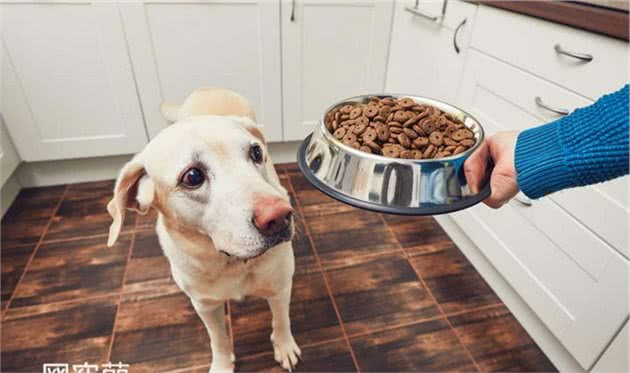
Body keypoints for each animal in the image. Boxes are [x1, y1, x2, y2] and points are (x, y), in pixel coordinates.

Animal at [107, 86, 302, 370]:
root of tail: (209, 88)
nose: (279, 217)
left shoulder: (279, 287)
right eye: (192, 177)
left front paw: (285, 346)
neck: (230, 262)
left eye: (256, 153)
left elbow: (282, 320)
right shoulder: (205, 306)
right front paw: (222, 365)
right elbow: (217, 339)